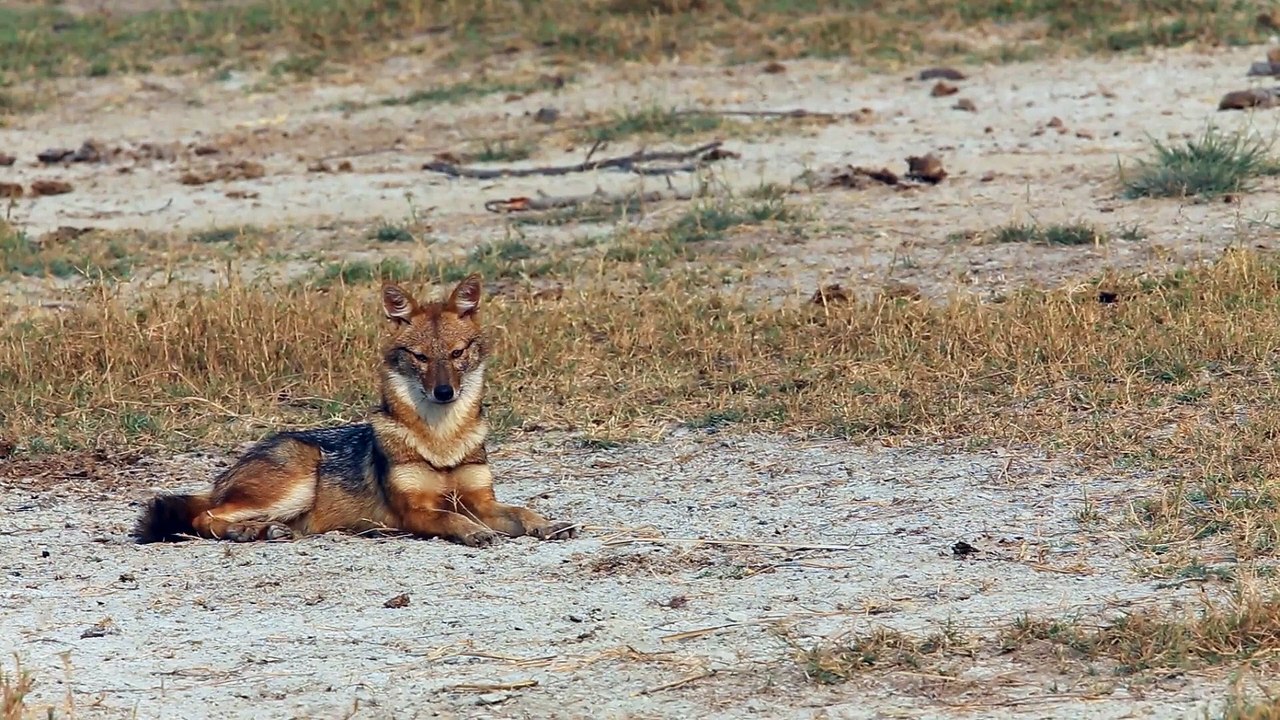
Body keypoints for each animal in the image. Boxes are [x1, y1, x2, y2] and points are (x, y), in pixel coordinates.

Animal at [131, 274, 577, 547]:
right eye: (420, 357)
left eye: (456, 354)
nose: (444, 392)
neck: (441, 440)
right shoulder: (415, 512)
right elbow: (452, 520)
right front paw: (473, 532)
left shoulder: (481, 500)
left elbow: (520, 509)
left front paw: (547, 523)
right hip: (296, 486)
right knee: (203, 517)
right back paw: (248, 531)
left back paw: (264, 530)